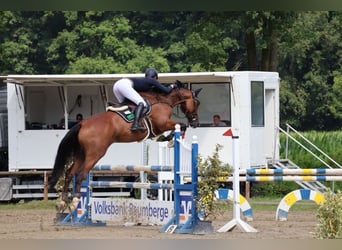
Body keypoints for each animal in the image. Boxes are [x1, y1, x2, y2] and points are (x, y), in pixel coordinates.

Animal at [49, 81, 202, 212]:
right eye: (197, 102)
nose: (196, 123)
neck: (163, 100)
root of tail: (82, 123)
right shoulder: (162, 123)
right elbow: (181, 125)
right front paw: (170, 139)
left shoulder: (159, 127)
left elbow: (171, 130)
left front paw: (166, 138)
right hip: (95, 154)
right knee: (81, 174)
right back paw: (74, 202)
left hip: (81, 154)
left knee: (70, 173)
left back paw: (62, 202)